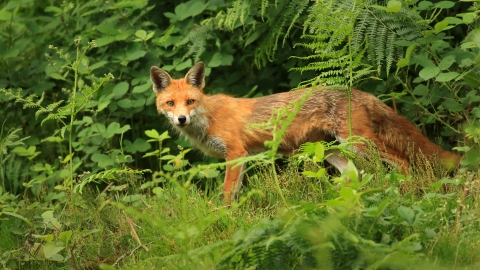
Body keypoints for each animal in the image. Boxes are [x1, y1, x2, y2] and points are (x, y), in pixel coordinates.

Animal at [150, 62, 462, 204]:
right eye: (170, 103)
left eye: (190, 101)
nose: (180, 119)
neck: (209, 116)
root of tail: (361, 93)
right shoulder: (240, 157)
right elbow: (234, 192)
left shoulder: (236, 153)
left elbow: (227, 193)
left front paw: (223, 218)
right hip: (333, 150)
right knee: (353, 175)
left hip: (358, 142)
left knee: (403, 161)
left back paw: (406, 193)